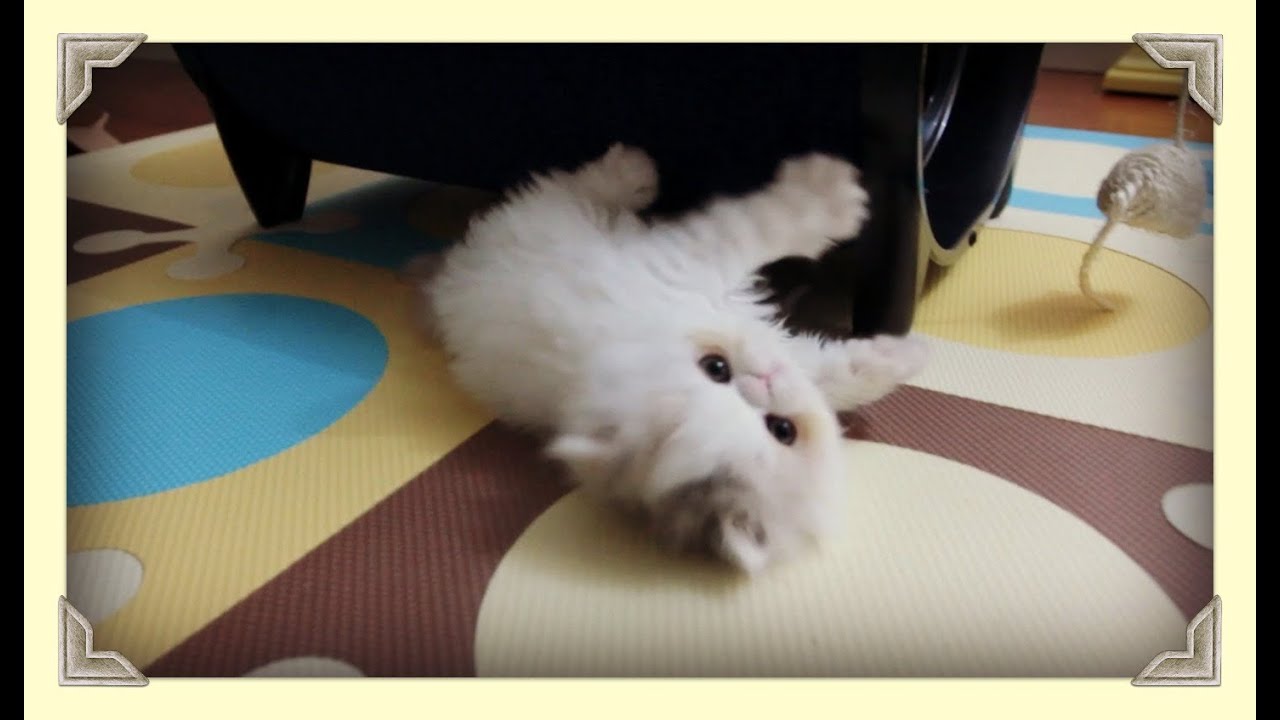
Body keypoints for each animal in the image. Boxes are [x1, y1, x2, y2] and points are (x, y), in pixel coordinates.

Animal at [410, 144, 927, 573]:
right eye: (782, 431)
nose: (763, 379)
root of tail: (448, 279)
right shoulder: (697, 259)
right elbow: (771, 222)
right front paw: (834, 191)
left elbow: (839, 374)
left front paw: (903, 355)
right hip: (551, 218)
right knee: (572, 186)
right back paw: (633, 170)